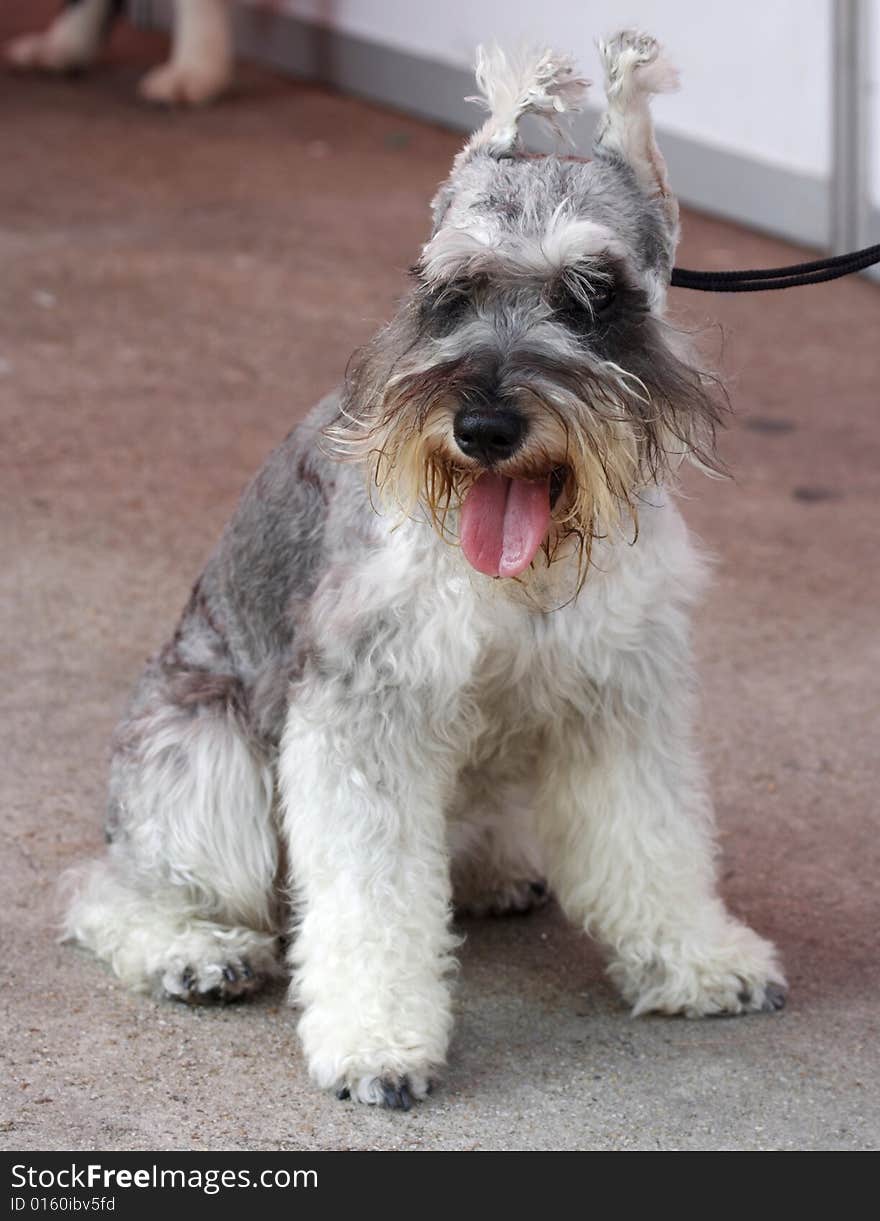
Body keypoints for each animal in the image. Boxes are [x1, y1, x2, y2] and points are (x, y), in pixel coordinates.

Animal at [65, 33, 786, 1113]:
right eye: (449, 293)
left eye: (594, 294)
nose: (483, 427)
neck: (522, 572)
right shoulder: (364, 711)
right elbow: (368, 894)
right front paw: (375, 1039)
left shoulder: (620, 695)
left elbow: (653, 840)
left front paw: (700, 958)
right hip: (205, 758)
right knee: (113, 885)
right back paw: (191, 950)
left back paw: (492, 873)